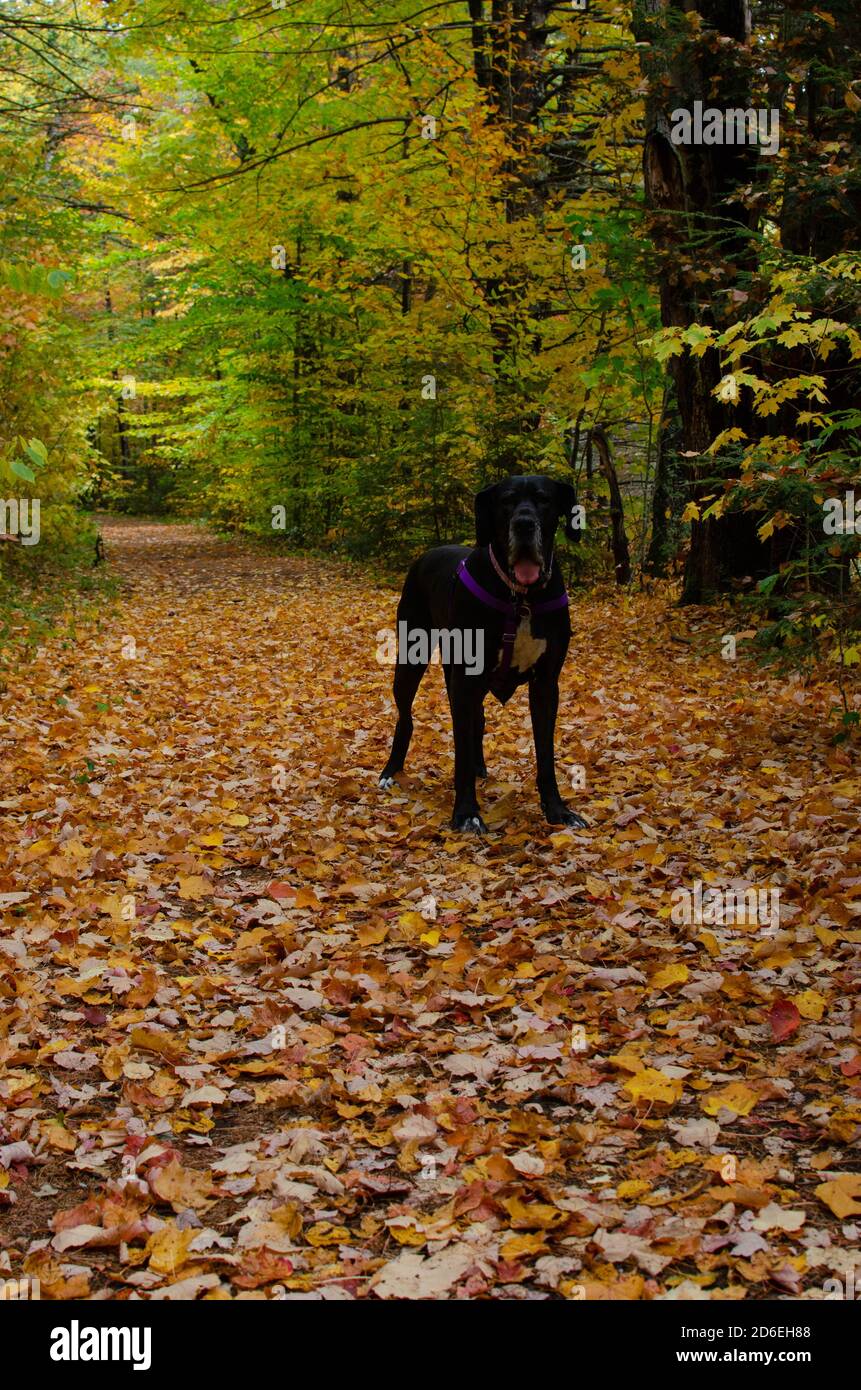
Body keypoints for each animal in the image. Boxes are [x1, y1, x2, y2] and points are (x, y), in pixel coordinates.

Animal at [381, 472, 589, 828]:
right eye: (506, 501)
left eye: (544, 500)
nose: (524, 524)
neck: (520, 598)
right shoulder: (465, 681)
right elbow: (461, 750)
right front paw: (466, 812)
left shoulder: (546, 685)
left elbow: (545, 755)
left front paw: (557, 810)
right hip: (411, 659)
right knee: (406, 717)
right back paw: (390, 771)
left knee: (476, 718)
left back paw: (479, 766)